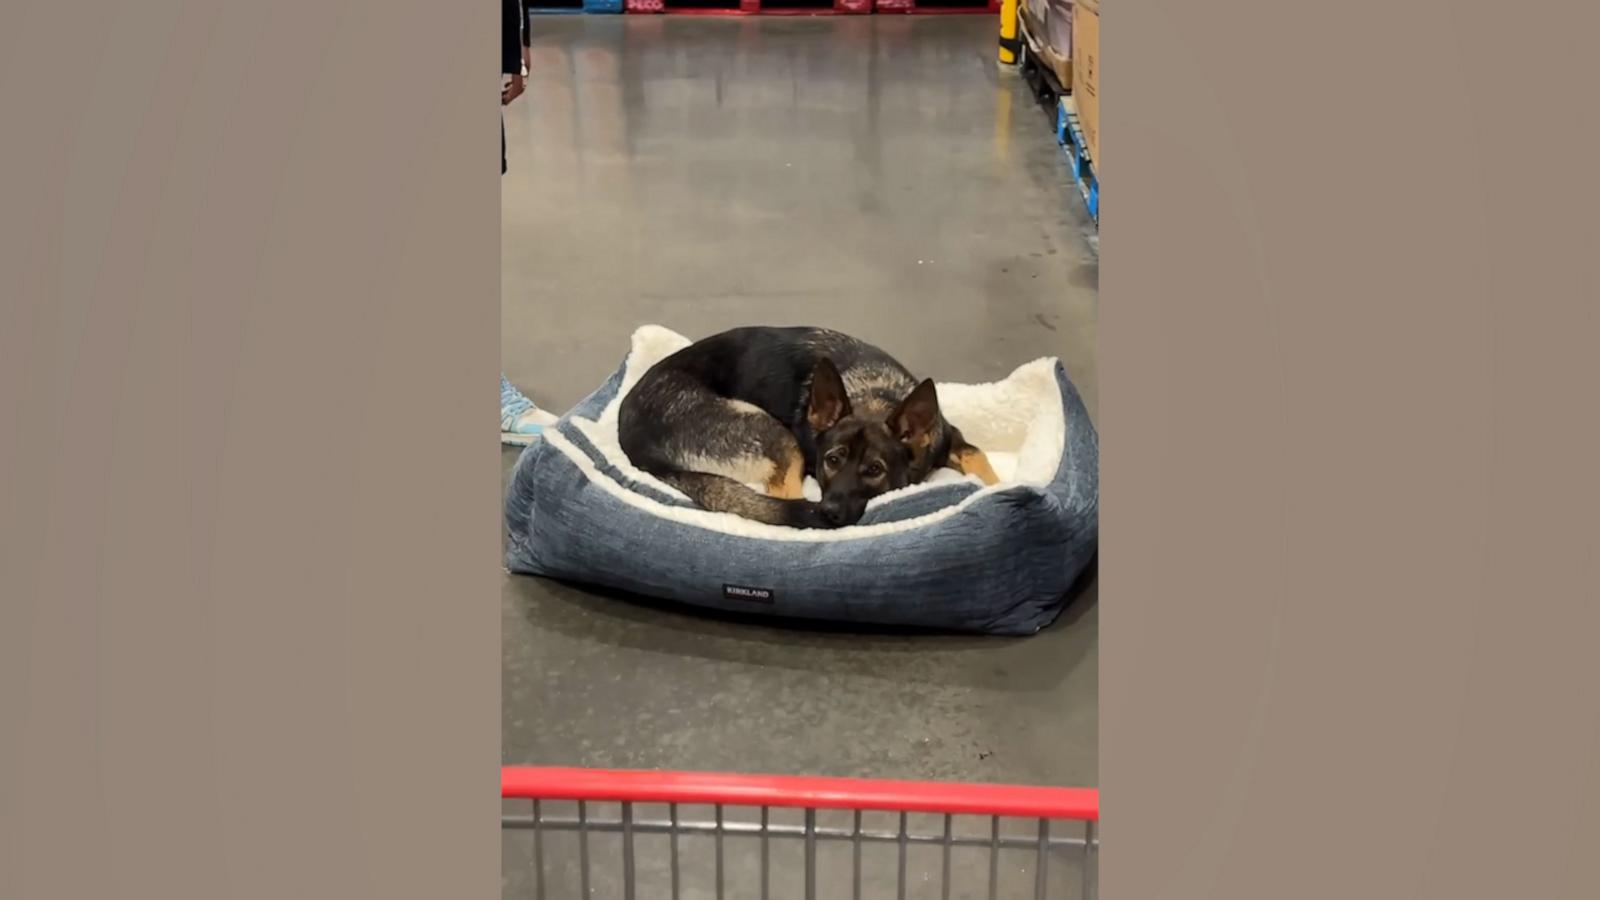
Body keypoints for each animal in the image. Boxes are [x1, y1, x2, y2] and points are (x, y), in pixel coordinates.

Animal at [617, 328, 992, 525]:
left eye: (874, 469)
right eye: (832, 460)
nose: (827, 512)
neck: (874, 395)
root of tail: (633, 442)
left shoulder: (951, 438)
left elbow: (979, 456)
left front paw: (996, 486)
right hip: (775, 434)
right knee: (782, 497)